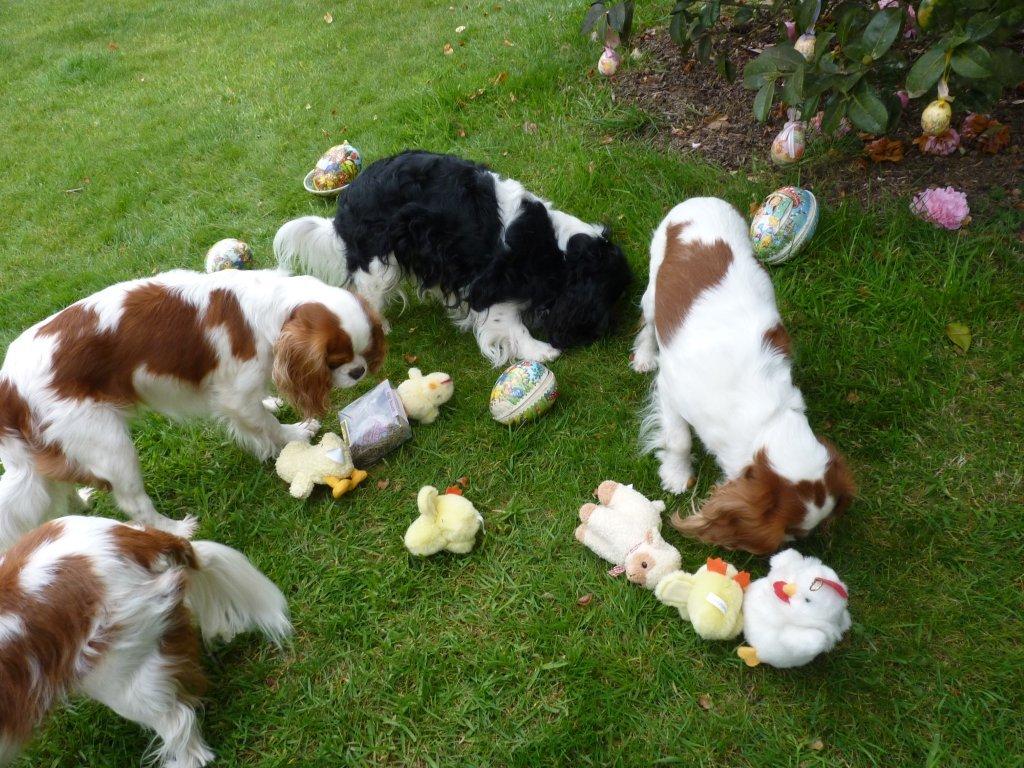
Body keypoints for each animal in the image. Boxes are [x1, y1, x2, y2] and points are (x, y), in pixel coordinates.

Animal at [0, 269, 386, 547]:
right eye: (335, 361)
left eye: (363, 352)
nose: (359, 372)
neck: (269, 306)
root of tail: (9, 391)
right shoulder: (236, 393)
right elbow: (266, 425)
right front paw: (297, 434)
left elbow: (260, 409)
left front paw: (271, 402)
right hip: (108, 443)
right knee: (133, 502)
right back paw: (175, 530)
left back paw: (81, 503)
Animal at [274, 150, 632, 366]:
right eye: (607, 297)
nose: (607, 330)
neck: (555, 245)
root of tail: (347, 198)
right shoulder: (490, 284)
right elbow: (508, 323)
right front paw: (539, 350)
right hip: (377, 259)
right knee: (367, 294)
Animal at [632, 197, 853, 554]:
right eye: (791, 534)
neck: (766, 417)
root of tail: (703, 198)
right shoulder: (670, 388)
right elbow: (679, 439)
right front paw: (677, 475)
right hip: (654, 287)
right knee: (650, 322)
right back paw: (644, 355)